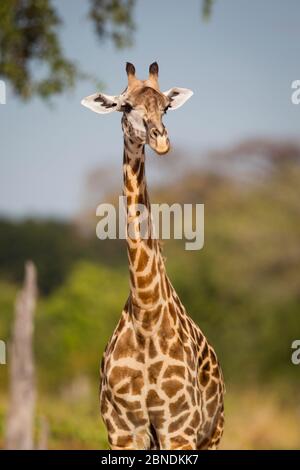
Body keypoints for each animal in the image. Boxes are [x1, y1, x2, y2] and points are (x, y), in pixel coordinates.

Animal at [81, 60, 224, 450]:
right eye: (126, 106)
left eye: (166, 106)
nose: (161, 139)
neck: (145, 313)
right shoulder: (121, 429)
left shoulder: (179, 426)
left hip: (212, 432)